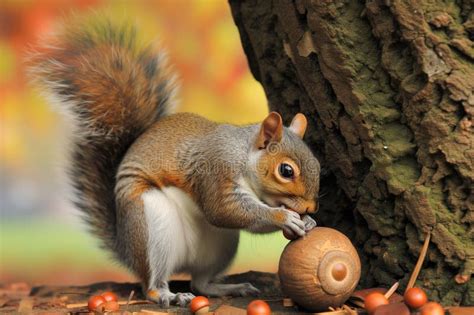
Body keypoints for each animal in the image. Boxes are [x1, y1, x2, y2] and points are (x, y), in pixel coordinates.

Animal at [28, 15, 318, 308]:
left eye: (317, 164)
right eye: (286, 170)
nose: (311, 207)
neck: (242, 155)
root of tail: (126, 246)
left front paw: (308, 223)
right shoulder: (214, 171)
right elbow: (224, 211)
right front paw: (284, 217)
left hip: (220, 244)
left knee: (200, 282)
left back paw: (228, 287)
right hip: (151, 226)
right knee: (152, 284)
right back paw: (169, 294)